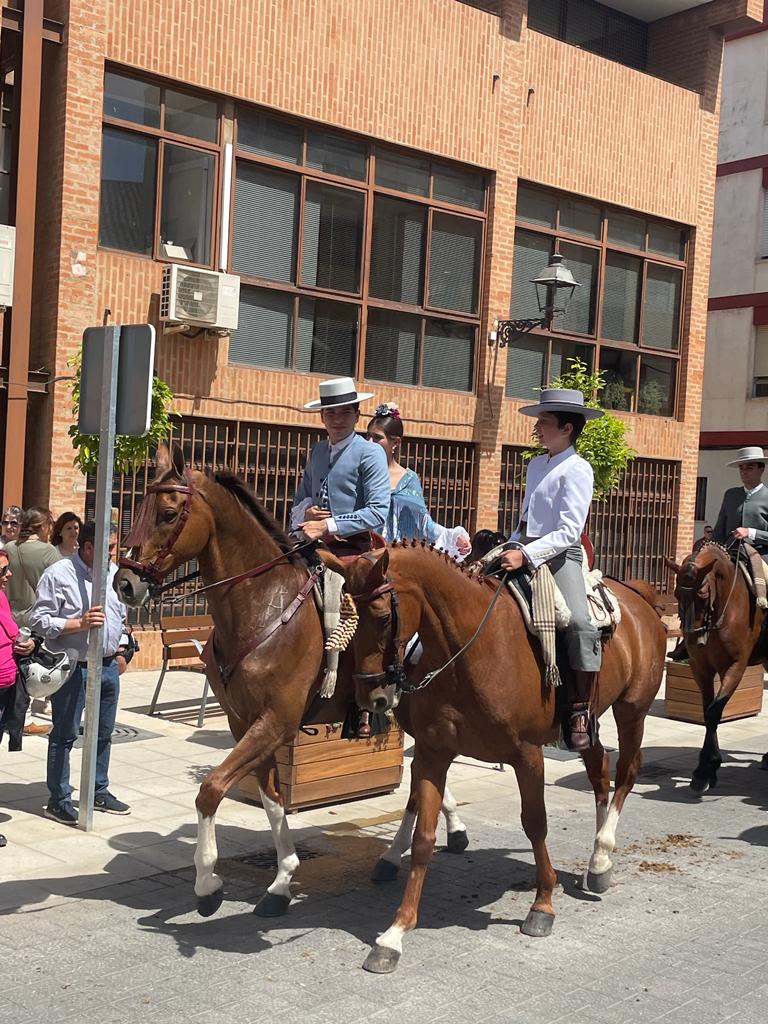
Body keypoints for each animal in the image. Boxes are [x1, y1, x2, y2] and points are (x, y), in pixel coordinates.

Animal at [112, 448, 468, 921]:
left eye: (168, 513)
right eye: (141, 508)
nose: (124, 582)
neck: (262, 606)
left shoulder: (276, 722)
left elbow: (210, 790)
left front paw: (207, 884)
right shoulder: (246, 723)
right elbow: (271, 798)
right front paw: (281, 880)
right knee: (420, 777)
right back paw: (426, 841)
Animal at [342, 540, 667, 970]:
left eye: (380, 617)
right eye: (346, 612)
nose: (371, 697)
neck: (472, 648)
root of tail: (638, 596)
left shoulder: (527, 755)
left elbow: (535, 824)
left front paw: (542, 906)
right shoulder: (433, 752)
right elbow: (424, 836)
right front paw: (394, 934)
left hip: (632, 711)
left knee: (627, 772)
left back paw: (601, 854)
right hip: (587, 725)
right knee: (599, 773)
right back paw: (599, 862)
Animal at [663, 540, 765, 794]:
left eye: (702, 594)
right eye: (677, 593)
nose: (691, 639)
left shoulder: (735, 667)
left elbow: (714, 711)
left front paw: (707, 768)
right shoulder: (701, 668)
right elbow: (707, 712)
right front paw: (705, 770)